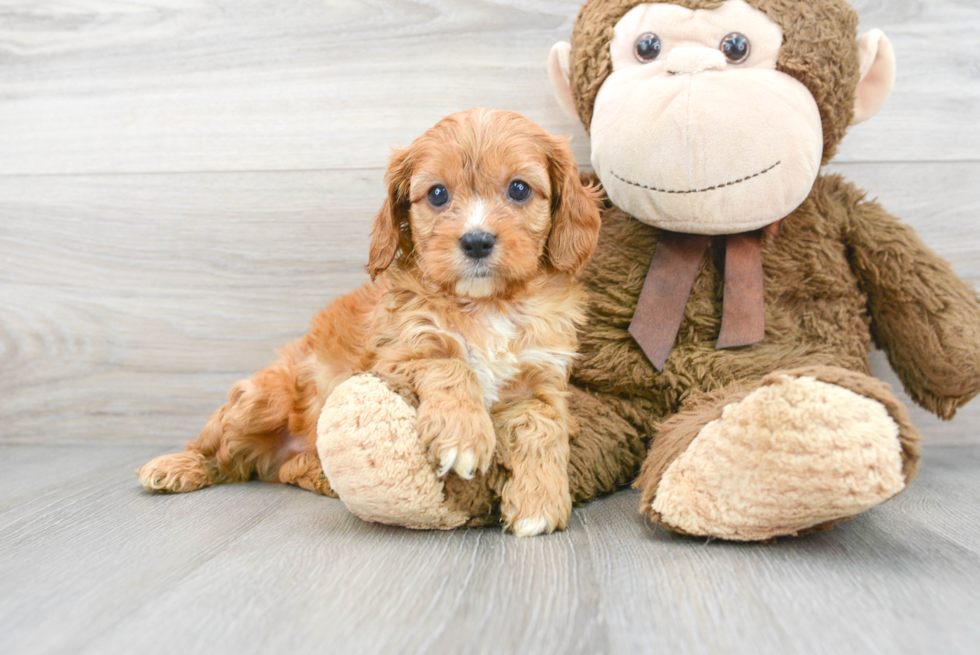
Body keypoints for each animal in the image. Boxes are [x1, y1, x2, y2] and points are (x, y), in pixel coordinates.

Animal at [136, 107, 596, 536]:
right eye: (438, 194)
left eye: (519, 188)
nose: (477, 241)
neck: (488, 305)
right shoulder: (397, 356)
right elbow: (451, 365)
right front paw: (463, 434)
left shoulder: (542, 380)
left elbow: (543, 428)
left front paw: (541, 501)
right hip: (262, 400)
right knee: (217, 449)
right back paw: (176, 467)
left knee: (284, 470)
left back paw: (321, 476)